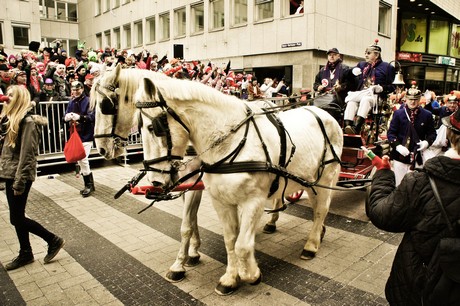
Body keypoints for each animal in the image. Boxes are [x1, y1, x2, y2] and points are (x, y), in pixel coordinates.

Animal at [131, 76, 344, 294]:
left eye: (153, 128)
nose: (155, 181)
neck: (232, 141)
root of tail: (324, 112)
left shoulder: (254, 201)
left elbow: (242, 245)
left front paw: (252, 274)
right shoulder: (221, 202)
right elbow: (230, 240)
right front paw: (230, 279)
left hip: (326, 177)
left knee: (321, 209)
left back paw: (311, 245)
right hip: (310, 180)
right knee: (317, 207)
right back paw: (315, 232)